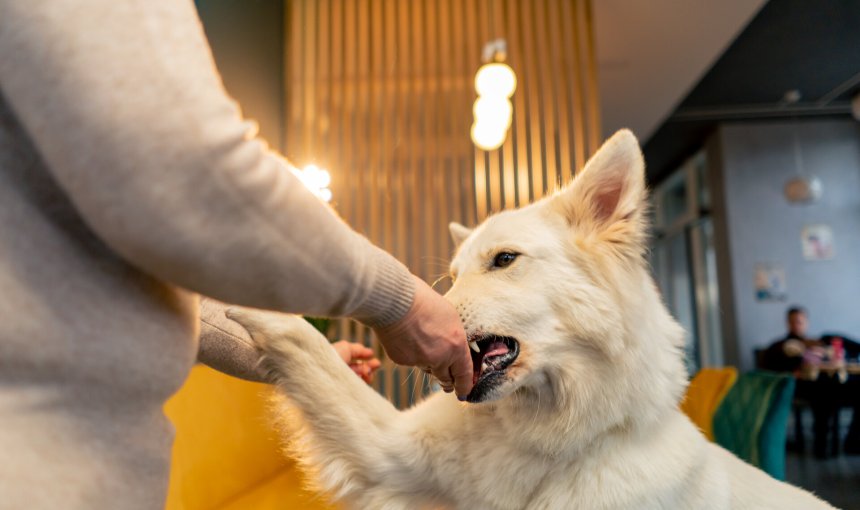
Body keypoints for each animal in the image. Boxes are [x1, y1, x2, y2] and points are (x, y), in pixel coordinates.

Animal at [225, 129, 836, 508]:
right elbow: (314, 353)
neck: (553, 444)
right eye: (452, 276)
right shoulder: (389, 453)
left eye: (504, 260)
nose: (429, 317)